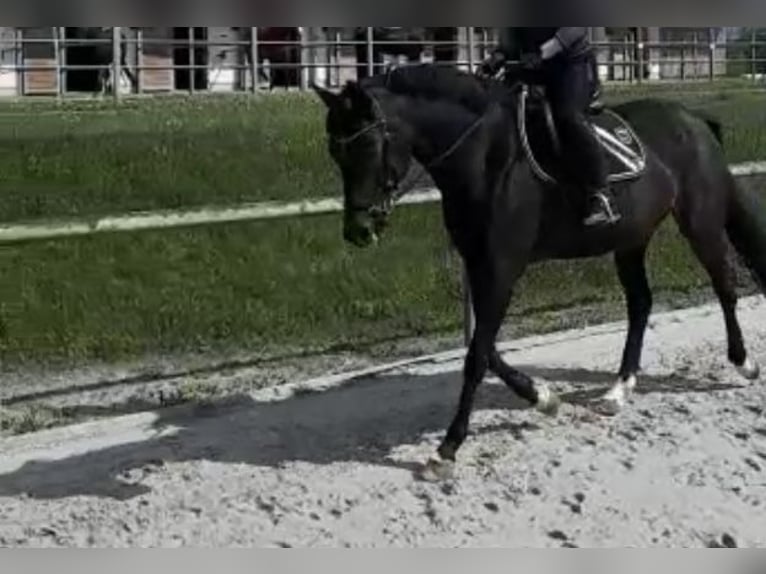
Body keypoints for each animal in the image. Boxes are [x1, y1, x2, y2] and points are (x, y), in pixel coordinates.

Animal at [311, 62, 766, 481]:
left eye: (368, 144)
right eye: (334, 151)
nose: (358, 231)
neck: (487, 158)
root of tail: (694, 119)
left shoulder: (502, 269)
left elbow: (476, 357)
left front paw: (447, 449)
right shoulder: (481, 267)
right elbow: (486, 349)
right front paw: (544, 398)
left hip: (700, 221)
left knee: (724, 285)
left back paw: (743, 364)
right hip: (630, 239)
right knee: (640, 303)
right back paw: (619, 389)